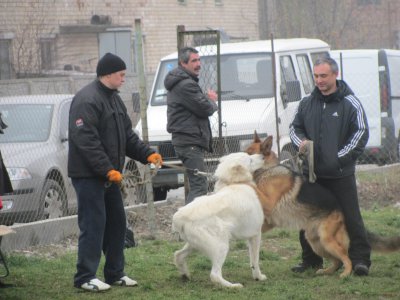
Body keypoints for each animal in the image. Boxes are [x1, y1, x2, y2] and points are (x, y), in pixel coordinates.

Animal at [245, 132, 400, 278]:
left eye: (248, 154)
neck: (267, 170)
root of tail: (341, 211)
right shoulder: (269, 221)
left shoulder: (269, 202)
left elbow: (252, 188)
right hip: (316, 243)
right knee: (337, 261)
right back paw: (326, 272)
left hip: (327, 240)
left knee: (346, 257)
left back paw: (346, 274)